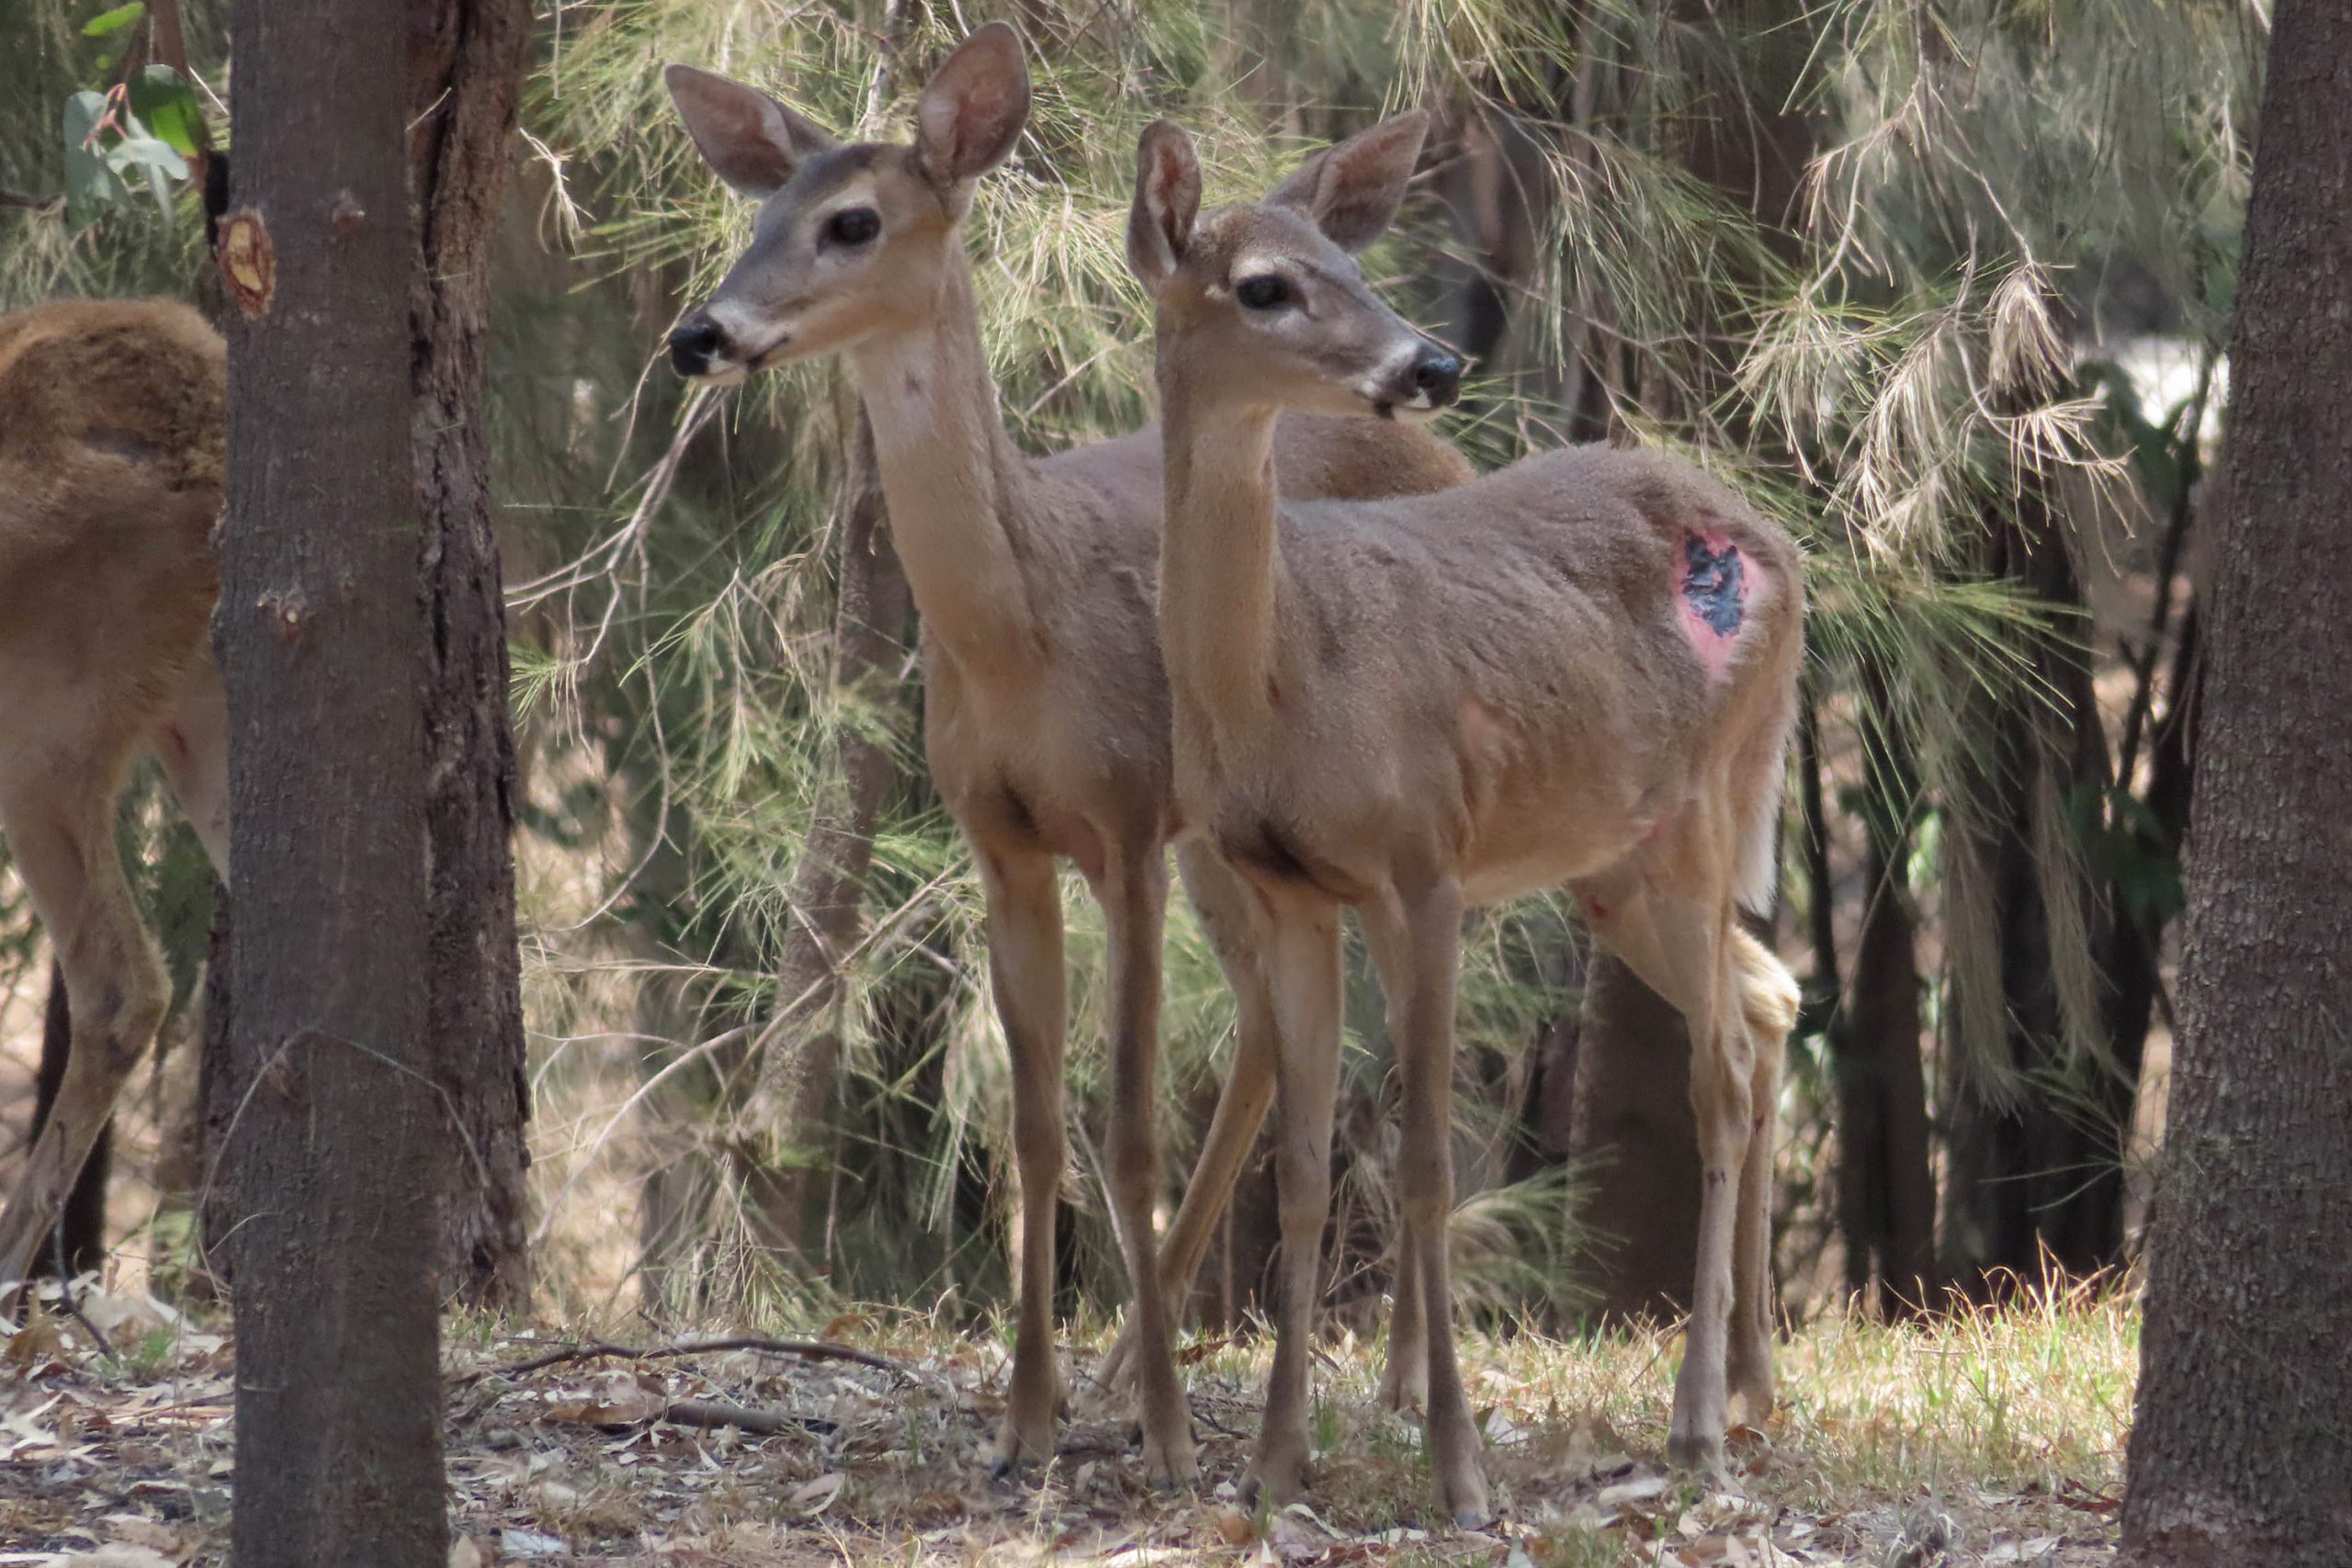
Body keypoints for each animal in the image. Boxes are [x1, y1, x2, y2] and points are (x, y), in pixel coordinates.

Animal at [658, 28, 1467, 1495]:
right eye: (756, 215)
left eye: (851, 221)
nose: (702, 333)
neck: (1021, 635)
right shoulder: (1005, 844)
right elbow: (1039, 1130)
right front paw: (1029, 1421)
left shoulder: (1130, 825)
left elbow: (1130, 1126)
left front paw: (1167, 1436)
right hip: (1236, 845)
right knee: (1269, 1035)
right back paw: (1136, 1369)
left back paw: (1365, 1385)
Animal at [1128, 113, 1806, 1523]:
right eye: (1266, 283)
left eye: (1352, 259)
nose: (1431, 360)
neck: (1285, 676)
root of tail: (1784, 544)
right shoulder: (1288, 888)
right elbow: (1307, 1166)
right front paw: (1275, 1462)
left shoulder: (1424, 862)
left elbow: (1436, 1165)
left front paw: (1458, 1467)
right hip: (1618, 860)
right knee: (1769, 998)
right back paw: (1754, 1388)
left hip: (1712, 798)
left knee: (1720, 1066)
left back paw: (1696, 1426)